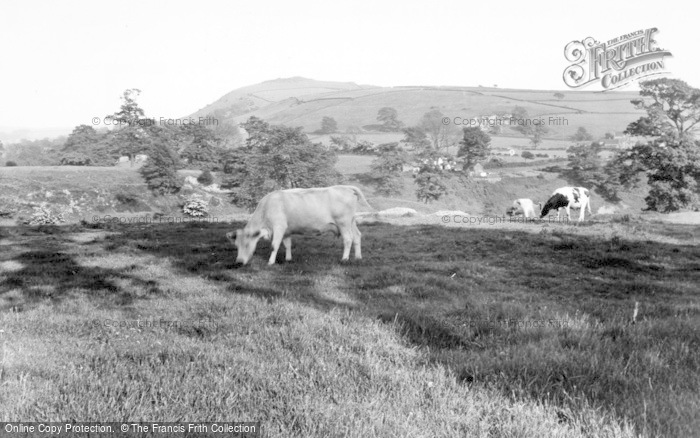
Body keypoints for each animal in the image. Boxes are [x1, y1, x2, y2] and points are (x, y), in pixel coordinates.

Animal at [228, 184, 372, 264]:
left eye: (247, 244)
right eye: (236, 246)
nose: (239, 262)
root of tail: (345, 187)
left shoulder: (279, 227)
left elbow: (274, 245)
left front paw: (270, 262)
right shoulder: (286, 231)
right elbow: (287, 245)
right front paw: (288, 259)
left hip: (343, 223)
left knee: (348, 239)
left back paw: (344, 259)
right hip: (351, 222)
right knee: (357, 236)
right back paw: (358, 257)